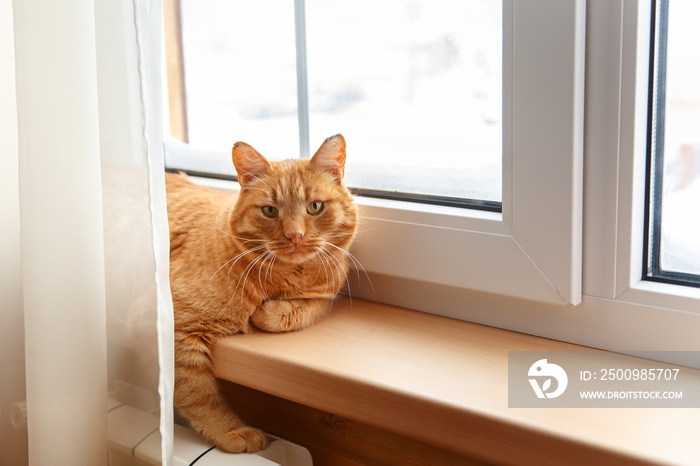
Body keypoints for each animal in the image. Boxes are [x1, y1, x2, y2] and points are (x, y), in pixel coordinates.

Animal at [167, 134, 358, 452]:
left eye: (315, 207)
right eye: (270, 211)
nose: (295, 235)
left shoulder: (325, 294)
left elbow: (301, 311)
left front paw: (265, 313)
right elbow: (198, 394)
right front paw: (231, 431)